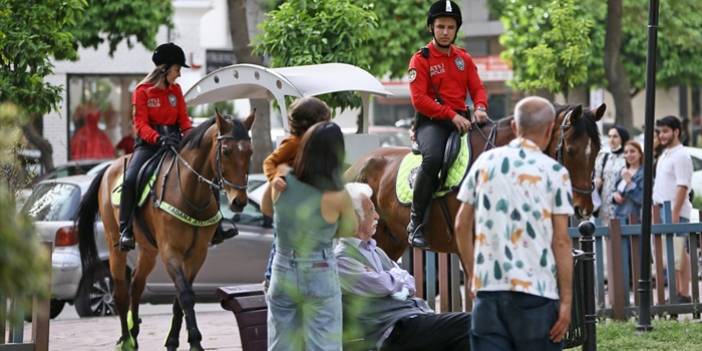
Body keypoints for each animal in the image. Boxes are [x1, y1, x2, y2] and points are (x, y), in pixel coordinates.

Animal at [75, 112, 256, 351]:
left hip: (148, 251)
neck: (189, 192)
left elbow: (180, 297)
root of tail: (108, 168)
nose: (239, 201)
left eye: (250, 151)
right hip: (116, 247)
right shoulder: (171, 251)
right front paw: (195, 342)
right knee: (121, 291)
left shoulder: (197, 254)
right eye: (225, 151)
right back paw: (126, 339)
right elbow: (185, 295)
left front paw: (173, 341)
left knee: (137, 284)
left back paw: (134, 332)